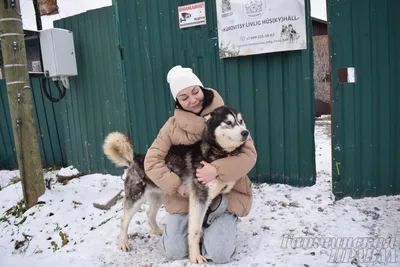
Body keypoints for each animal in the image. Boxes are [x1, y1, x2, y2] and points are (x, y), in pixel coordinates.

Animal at [104, 105, 252, 264]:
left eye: (241, 121)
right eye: (229, 122)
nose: (246, 132)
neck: (217, 155)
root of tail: (136, 157)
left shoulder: (215, 195)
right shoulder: (199, 198)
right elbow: (194, 230)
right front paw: (195, 256)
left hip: (159, 196)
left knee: (149, 213)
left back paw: (157, 231)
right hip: (135, 197)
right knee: (124, 219)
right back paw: (123, 243)